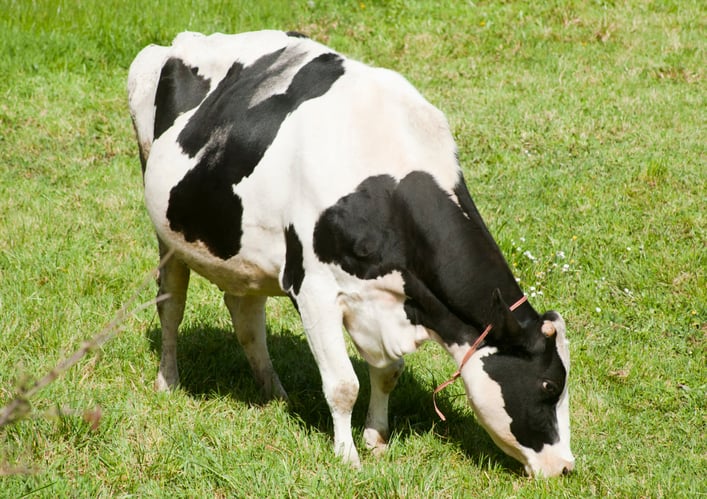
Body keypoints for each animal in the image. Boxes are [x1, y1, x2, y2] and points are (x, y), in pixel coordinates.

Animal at [127, 30, 574, 478]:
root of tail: (186, 39)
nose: (566, 467)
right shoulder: (314, 289)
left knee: (246, 317)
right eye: (550, 385)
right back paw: (169, 381)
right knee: (171, 305)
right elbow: (343, 385)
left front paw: (376, 437)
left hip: (243, 254)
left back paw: (275, 393)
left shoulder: (386, 301)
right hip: (165, 230)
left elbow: (388, 373)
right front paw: (347, 456)